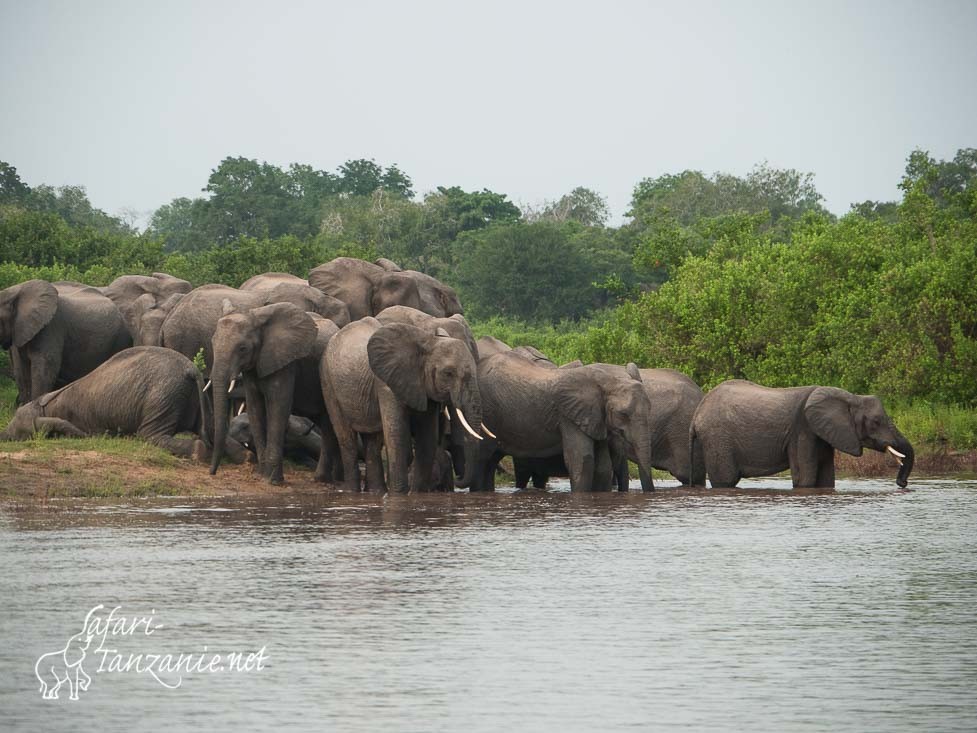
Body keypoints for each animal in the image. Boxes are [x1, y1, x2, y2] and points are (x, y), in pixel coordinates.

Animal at [208, 300, 342, 484]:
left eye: (242, 348)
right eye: (212, 342)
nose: (212, 473)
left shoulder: (286, 363)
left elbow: (278, 406)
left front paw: (273, 480)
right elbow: (255, 407)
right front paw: (262, 474)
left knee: (329, 425)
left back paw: (323, 479)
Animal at [320, 316, 484, 492]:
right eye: (448, 373)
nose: (458, 477)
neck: (428, 341)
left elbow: (428, 438)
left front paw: (417, 494)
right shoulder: (387, 382)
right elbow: (396, 434)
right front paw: (398, 495)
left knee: (372, 441)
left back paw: (377, 492)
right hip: (327, 381)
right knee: (346, 438)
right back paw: (353, 491)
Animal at [688, 380, 916, 488]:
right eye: (876, 422)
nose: (902, 484)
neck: (850, 397)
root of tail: (697, 413)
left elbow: (826, 479)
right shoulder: (803, 430)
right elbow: (805, 478)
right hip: (717, 438)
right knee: (725, 480)